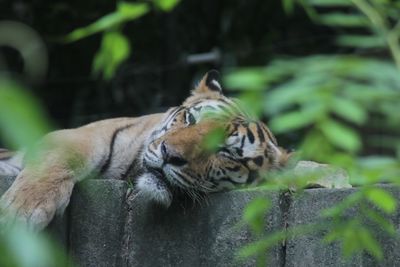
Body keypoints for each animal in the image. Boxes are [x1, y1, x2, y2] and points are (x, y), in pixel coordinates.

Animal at [0, 70, 290, 231]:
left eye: (225, 153)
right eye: (190, 119)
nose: (169, 155)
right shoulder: (78, 135)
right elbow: (57, 161)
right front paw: (20, 212)